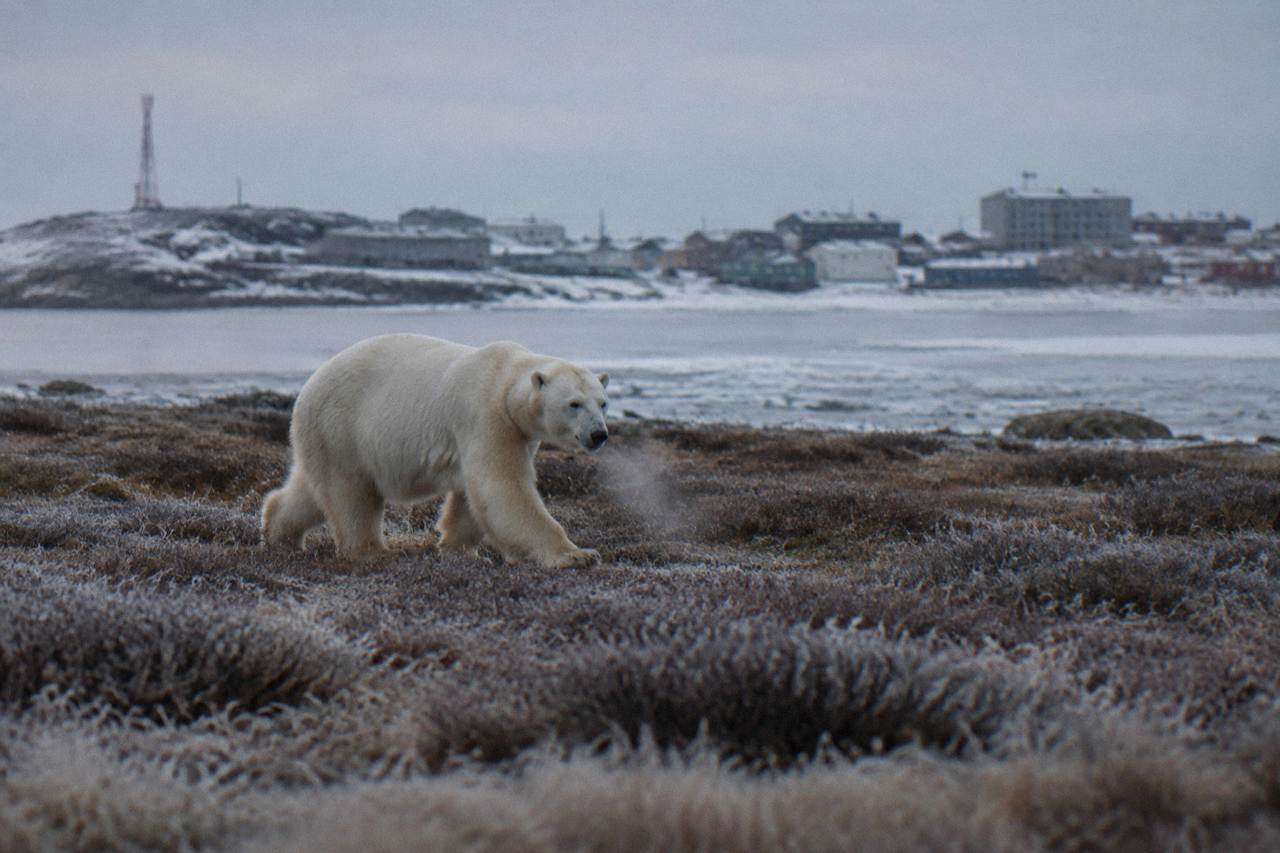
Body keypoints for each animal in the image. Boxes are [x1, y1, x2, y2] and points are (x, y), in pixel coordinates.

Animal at [261, 333, 609, 568]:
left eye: (603, 402)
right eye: (574, 404)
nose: (599, 434)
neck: (504, 377)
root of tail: (307, 388)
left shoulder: (520, 433)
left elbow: (473, 495)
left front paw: (461, 550)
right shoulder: (486, 415)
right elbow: (501, 487)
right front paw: (577, 555)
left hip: (325, 439)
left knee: (312, 490)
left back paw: (280, 534)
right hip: (343, 429)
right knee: (352, 494)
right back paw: (373, 552)